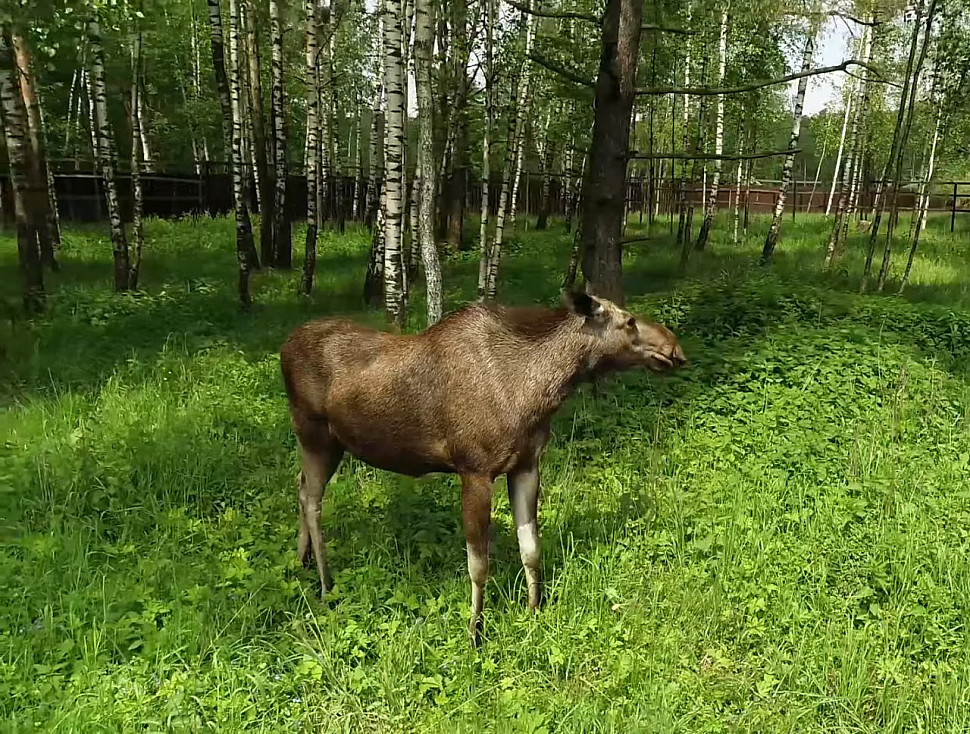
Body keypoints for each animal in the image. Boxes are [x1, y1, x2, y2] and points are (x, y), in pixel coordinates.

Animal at [280, 290, 684, 648]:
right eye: (628, 321)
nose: (675, 347)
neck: (538, 395)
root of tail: (283, 346)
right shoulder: (475, 470)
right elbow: (479, 565)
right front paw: (475, 633)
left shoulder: (526, 465)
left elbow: (531, 549)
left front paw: (534, 611)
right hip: (315, 434)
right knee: (312, 500)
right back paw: (325, 583)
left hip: (329, 444)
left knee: (299, 487)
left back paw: (301, 560)